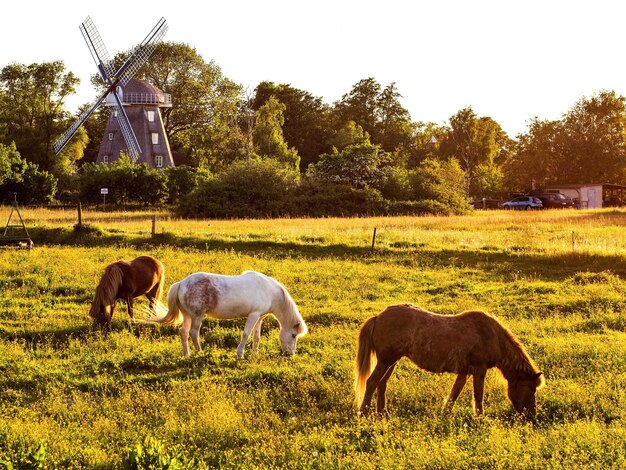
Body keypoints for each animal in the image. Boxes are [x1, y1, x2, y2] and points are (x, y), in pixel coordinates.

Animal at [354, 304, 544, 418]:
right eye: (530, 389)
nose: (531, 417)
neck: (491, 336)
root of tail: (378, 317)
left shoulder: (465, 372)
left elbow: (455, 393)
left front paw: (445, 413)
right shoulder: (479, 370)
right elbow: (478, 395)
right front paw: (480, 418)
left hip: (391, 362)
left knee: (382, 384)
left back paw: (382, 413)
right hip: (386, 361)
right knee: (372, 382)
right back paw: (363, 413)